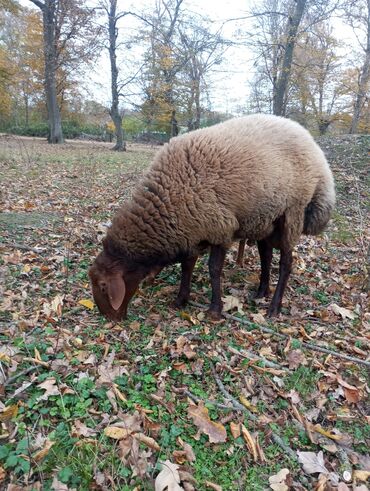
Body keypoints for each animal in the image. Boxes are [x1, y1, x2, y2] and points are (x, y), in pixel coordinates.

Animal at [89, 115, 336, 322]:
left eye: (103, 286)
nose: (109, 318)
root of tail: (314, 146)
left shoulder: (220, 229)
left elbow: (214, 269)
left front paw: (215, 310)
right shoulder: (193, 231)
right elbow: (187, 265)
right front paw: (181, 299)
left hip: (293, 212)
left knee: (286, 263)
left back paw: (274, 307)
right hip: (267, 219)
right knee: (266, 255)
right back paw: (261, 291)